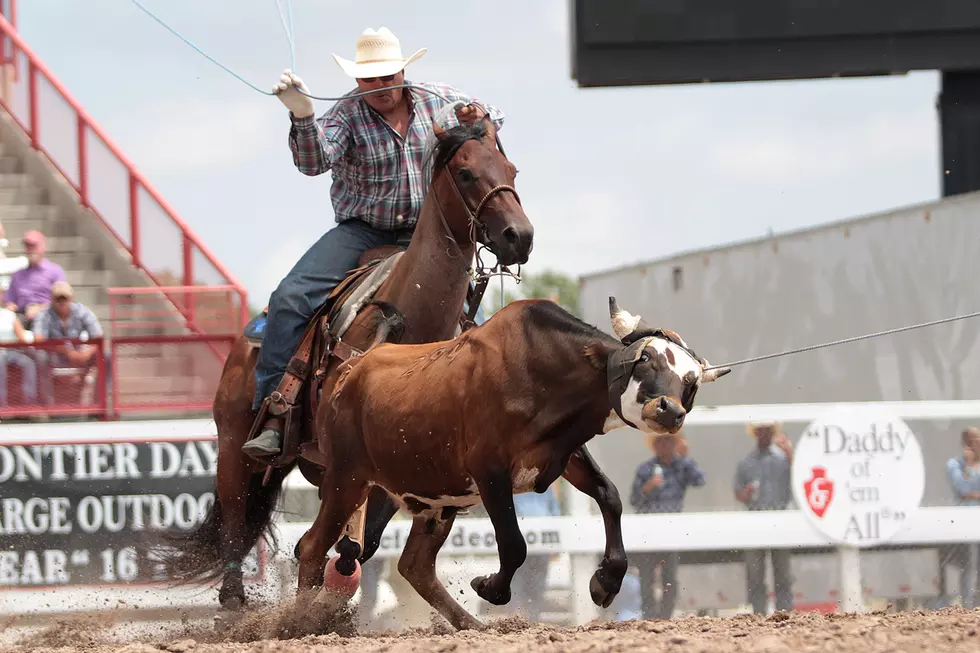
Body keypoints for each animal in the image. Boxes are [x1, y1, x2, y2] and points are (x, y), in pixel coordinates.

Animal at [154, 107, 536, 612]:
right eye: (466, 172)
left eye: (511, 170)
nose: (520, 237)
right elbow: (339, 544)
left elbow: (360, 544)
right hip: (235, 447)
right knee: (236, 525)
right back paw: (235, 603)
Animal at [302, 296, 732, 628]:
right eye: (645, 361)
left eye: (690, 383)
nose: (670, 410)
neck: (541, 370)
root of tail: (349, 371)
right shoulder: (489, 471)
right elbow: (514, 544)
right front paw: (490, 587)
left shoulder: (562, 456)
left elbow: (609, 496)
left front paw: (606, 582)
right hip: (347, 478)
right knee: (312, 546)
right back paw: (300, 622)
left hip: (438, 500)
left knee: (414, 566)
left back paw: (471, 625)